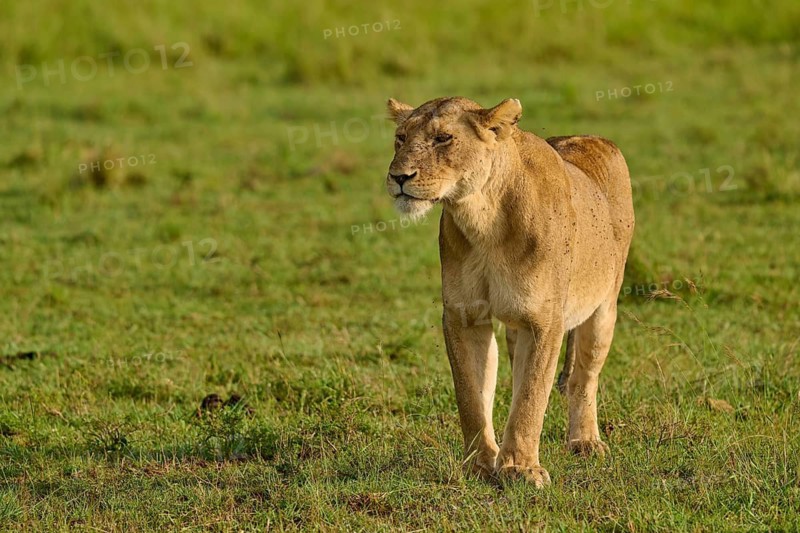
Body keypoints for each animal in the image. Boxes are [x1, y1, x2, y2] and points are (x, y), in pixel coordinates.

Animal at [385, 96, 635, 486]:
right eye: (400, 138)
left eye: (443, 138)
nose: (399, 177)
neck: (482, 220)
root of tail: (593, 138)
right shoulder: (463, 316)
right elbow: (471, 397)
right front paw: (480, 465)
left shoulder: (545, 321)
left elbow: (531, 397)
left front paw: (520, 468)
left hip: (604, 306)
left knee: (584, 377)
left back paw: (585, 441)